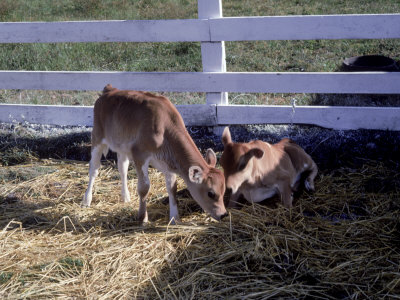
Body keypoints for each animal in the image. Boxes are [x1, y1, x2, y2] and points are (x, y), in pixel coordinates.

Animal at [82, 84, 227, 223]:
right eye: (211, 193)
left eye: (224, 190)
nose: (224, 214)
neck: (165, 127)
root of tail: (110, 90)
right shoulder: (140, 154)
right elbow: (144, 187)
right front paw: (143, 218)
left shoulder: (167, 162)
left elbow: (172, 187)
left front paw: (174, 218)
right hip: (97, 136)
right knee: (94, 169)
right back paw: (87, 200)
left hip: (122, 146)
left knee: (122, 168)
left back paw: (126, 197)